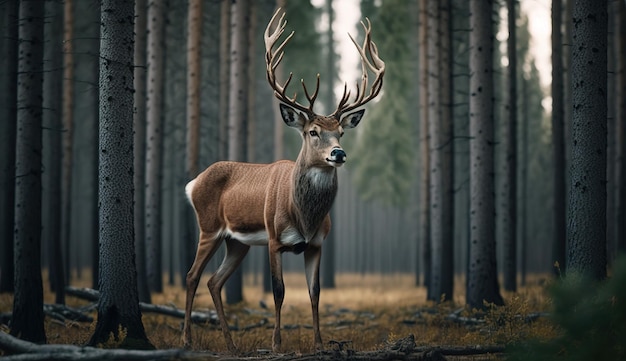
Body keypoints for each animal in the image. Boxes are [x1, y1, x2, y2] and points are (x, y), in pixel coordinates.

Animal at [180, 7, 382, 352]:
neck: (304, 216)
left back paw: (231, 344)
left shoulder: (316, 244)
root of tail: (193, 183)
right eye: (313, 132)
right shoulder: (274, 238)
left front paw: (319, 343)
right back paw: (187, 339)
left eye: (341, 132)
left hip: (236, 242)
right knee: (193, 276)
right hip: (209, 227)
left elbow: (315, 293)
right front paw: (276, 343)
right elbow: (278, 291)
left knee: (214, 280)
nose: (338, 153)